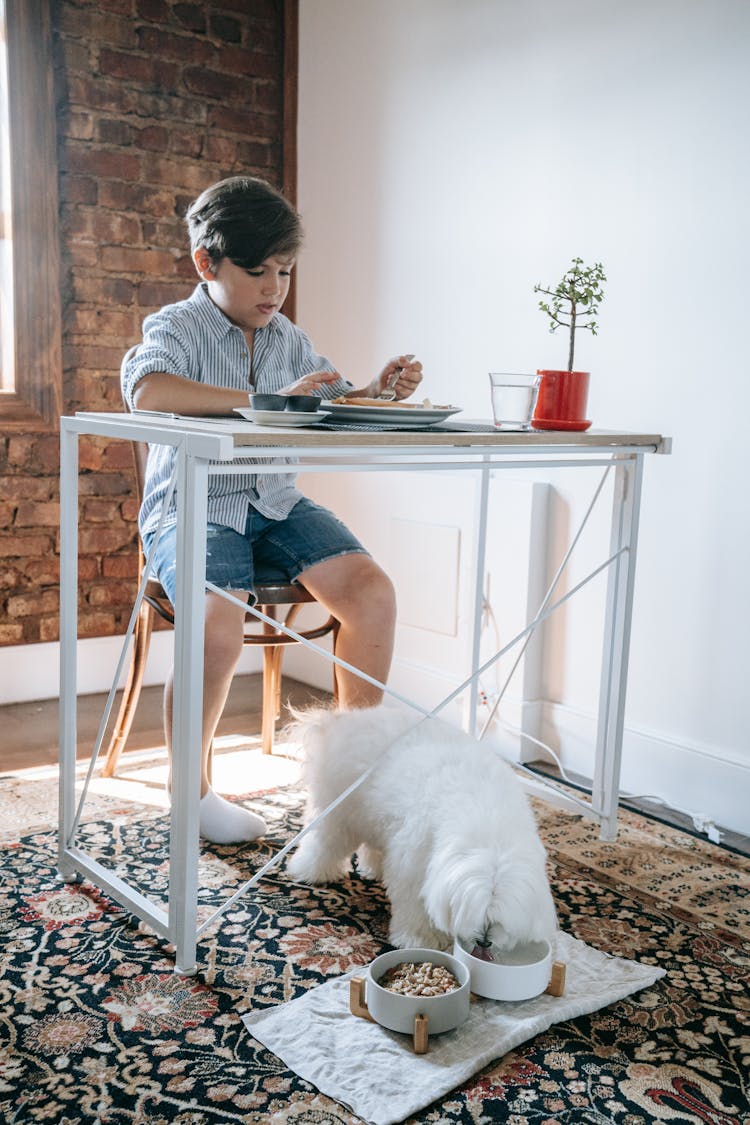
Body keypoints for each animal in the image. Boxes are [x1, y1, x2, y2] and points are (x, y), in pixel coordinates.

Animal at [287, 706, 557, 954]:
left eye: (498, 919)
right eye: (474, 913)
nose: (484, 940)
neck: (489, 823)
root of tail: (334, 723)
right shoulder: (414, 862)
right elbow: (414, 905)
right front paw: (420, 939)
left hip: (375, 816)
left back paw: (372, 869)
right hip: (339, 812)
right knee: (323, 843)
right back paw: (310, 872)